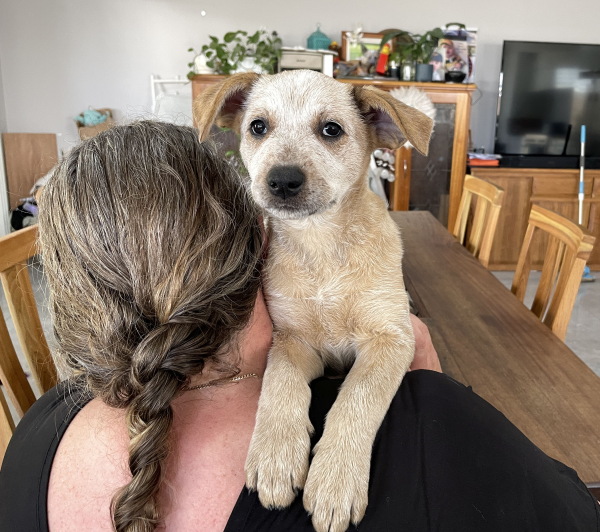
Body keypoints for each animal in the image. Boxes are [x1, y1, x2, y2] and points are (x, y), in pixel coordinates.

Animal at [195, 71, 434, 532]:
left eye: (331, 130)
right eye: (257, 127)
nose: (282, 180)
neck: (322, 246)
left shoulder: (391, 339)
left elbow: (357, 398)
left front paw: (335, 480)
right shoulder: (293, 340)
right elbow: (279, 383)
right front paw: (275, 456)